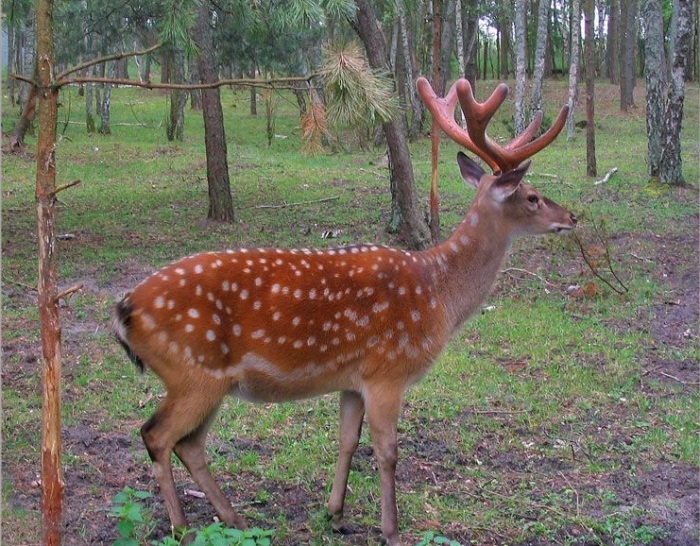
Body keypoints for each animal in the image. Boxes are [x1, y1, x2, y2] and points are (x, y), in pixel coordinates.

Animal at [113, 77, 576, 544]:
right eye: (533, 197)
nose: (571, 216)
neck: (438, 294)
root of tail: (124, 310)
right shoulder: (388, 371)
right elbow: (387, 451)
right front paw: (391, 529)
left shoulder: (353, 380)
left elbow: (347, 441)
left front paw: (335, 513)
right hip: (192, 372)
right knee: (157, 435)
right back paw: (182, 527)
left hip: (211, 382)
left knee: (189, 443)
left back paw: (235, 520)